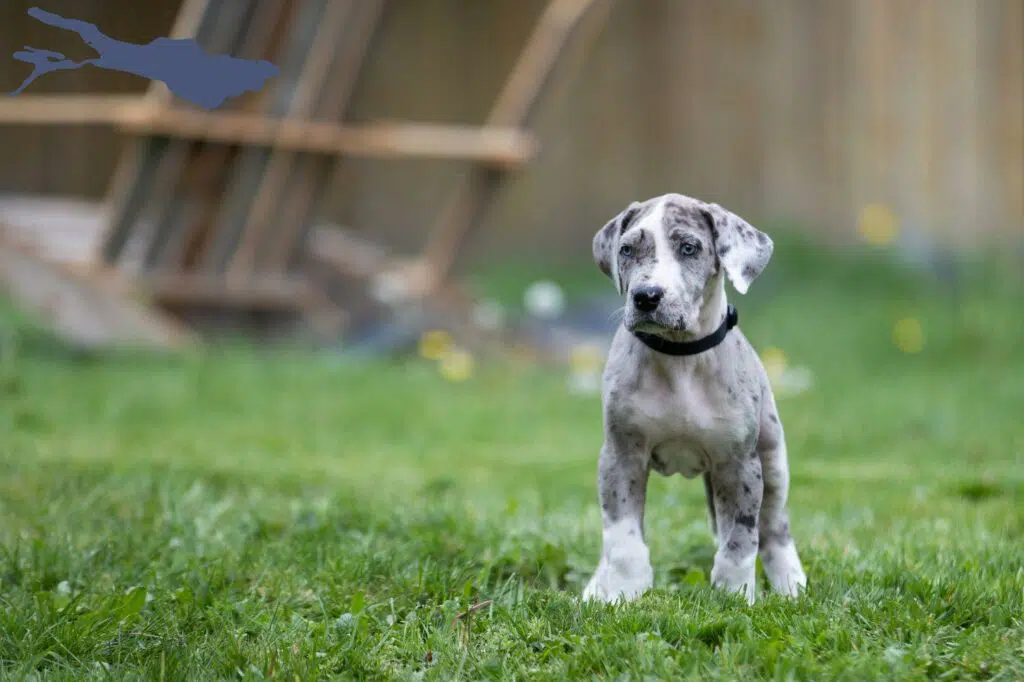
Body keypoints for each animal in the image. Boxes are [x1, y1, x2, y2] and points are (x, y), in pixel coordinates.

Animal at [585, 191, 806, 602]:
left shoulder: (739, 465)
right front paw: (622, 592)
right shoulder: (621, 457)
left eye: (689, 248)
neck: (680, 358)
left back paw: (791, 583)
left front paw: (733, 595)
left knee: (773, 527)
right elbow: (623, 539)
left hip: (773, 460)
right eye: (626, 249)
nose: (646, 296)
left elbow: (740, 539)